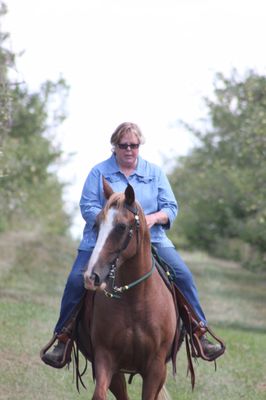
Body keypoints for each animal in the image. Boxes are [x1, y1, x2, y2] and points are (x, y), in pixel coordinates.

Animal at [78, 180, 179, 400]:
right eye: (96, 225)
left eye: (122, 227)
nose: (91, 276)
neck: (136, 301)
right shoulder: (106, 359)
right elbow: (100, 394)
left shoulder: (156, 368)